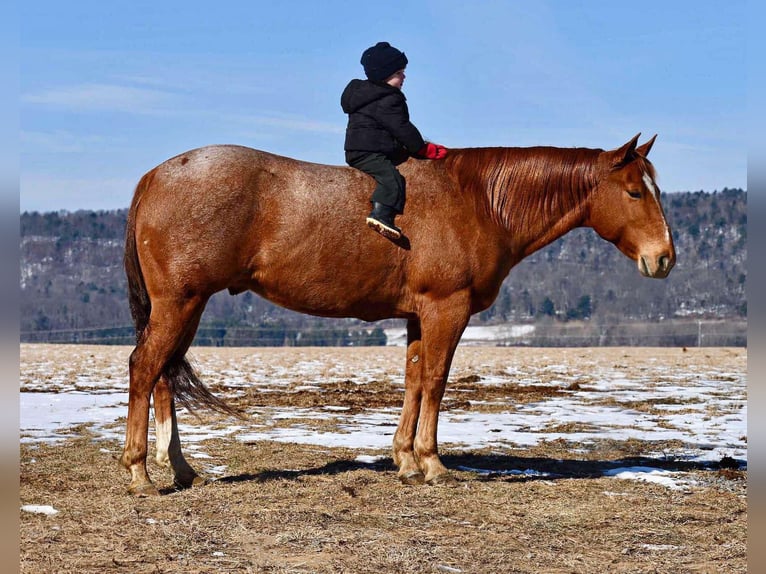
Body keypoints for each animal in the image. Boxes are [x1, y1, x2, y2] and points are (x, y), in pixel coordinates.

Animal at [121, 134, 680, 496]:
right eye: (634, 191)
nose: (664, 258)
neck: (478, 201)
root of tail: (154, 176)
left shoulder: (417, 316)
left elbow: (413, 381)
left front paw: (406, 460)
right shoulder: (446, 309)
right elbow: (435, 380)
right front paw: (432, 463)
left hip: (187, 306)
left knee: (164, 376)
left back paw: (180, 468)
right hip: (180, 303)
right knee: (145, 368)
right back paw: (139, 472)